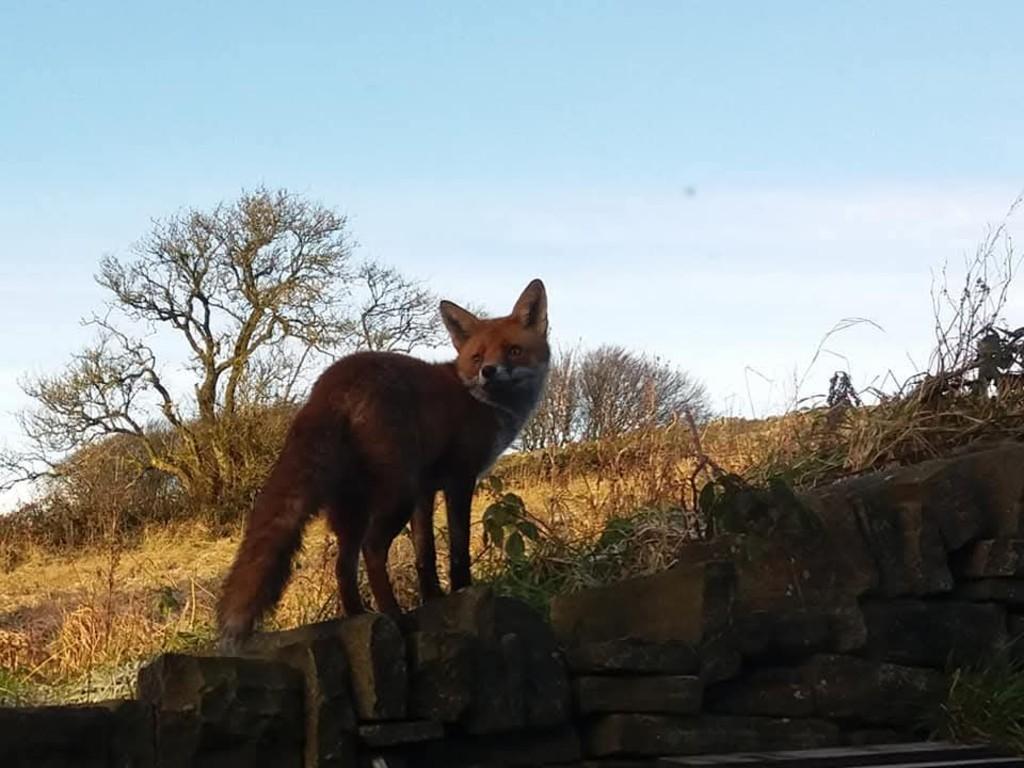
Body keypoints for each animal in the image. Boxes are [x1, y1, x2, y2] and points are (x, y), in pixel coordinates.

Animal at [216, 279, 550, 651]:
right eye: (478, 357)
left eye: (514, 351)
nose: (488, 372)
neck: (482, 403)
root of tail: (329, 384)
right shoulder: (458, 480)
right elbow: (458, 551)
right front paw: (461, 592)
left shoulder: (425, 490)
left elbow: (424, 555)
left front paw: (433, 599)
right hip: (394, 495)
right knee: (372, 550)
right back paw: (393, 617)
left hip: (353, 507)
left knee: (343, 566)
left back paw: (358, 616)